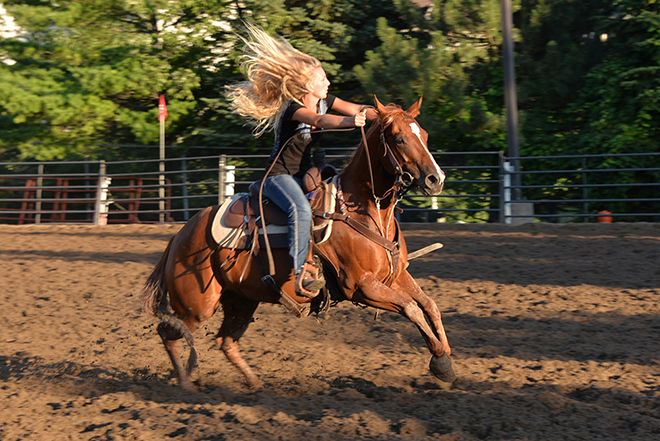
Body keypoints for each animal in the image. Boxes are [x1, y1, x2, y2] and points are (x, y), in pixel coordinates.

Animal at [141, 97, 456, 392]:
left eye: (424, 135)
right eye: (400, 138)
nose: (436, 179)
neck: (364, 212)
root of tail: (179, 236)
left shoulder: (395, 275)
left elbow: (430, 305)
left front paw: (446, 357)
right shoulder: (361, 286)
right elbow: (411, 308)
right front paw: (440, 360)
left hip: (241, 300)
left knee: (225, 341)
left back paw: (255, 384)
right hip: (197, 307)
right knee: (168, 332)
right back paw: (185, 384)